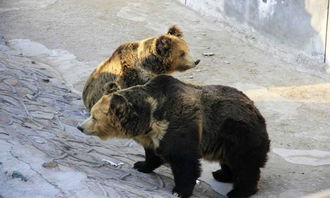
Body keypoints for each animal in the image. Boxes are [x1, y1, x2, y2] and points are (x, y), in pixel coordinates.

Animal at [78, 74, 270, 198]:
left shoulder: (177, 126)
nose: (80, 127)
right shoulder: (153, 135)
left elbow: (184, 161)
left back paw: (238, 191)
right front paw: (141, 164)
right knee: (230, 161)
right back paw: (222, 174)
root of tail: (257, 112)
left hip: (238, 132)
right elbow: (153, 153)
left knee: (245, 165)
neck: (150, 117)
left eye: (94, 117)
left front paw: (180, 190)